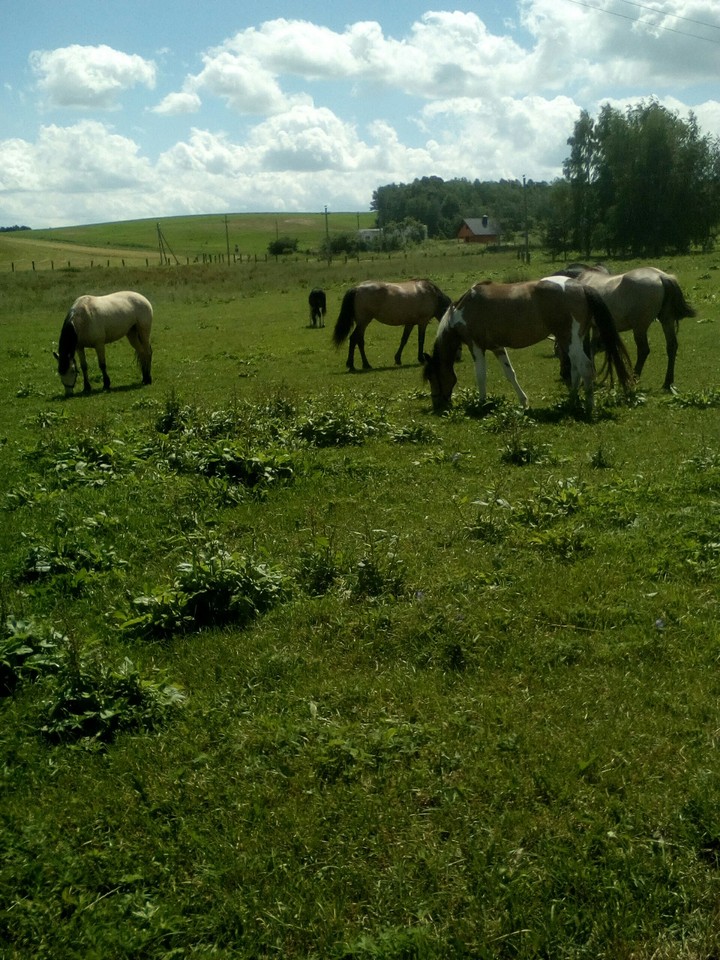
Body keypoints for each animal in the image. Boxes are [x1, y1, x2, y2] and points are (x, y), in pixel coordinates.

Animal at [422, 276, 634, 413]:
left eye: (433, 376)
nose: (438, 405)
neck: (463, 309)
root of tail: (581, 287)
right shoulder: (498, 348)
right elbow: (510, 374)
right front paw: (523, 402)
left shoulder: (476, 347)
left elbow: (480, 376)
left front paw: (481, 404)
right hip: (572, 340)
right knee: (576, 369)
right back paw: (572, 401)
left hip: (570, 339)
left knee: (586, 367)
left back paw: (588, 406)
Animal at [553, 264, 695, 390]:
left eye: (558, 353)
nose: (563, 374)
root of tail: (662, 276)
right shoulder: (596, 327)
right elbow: (592, 347)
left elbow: (586, 348)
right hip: (666, 320)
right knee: (671, 346)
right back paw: (667, 382)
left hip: (640, 327)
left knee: (643, 350)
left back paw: (635, 377)